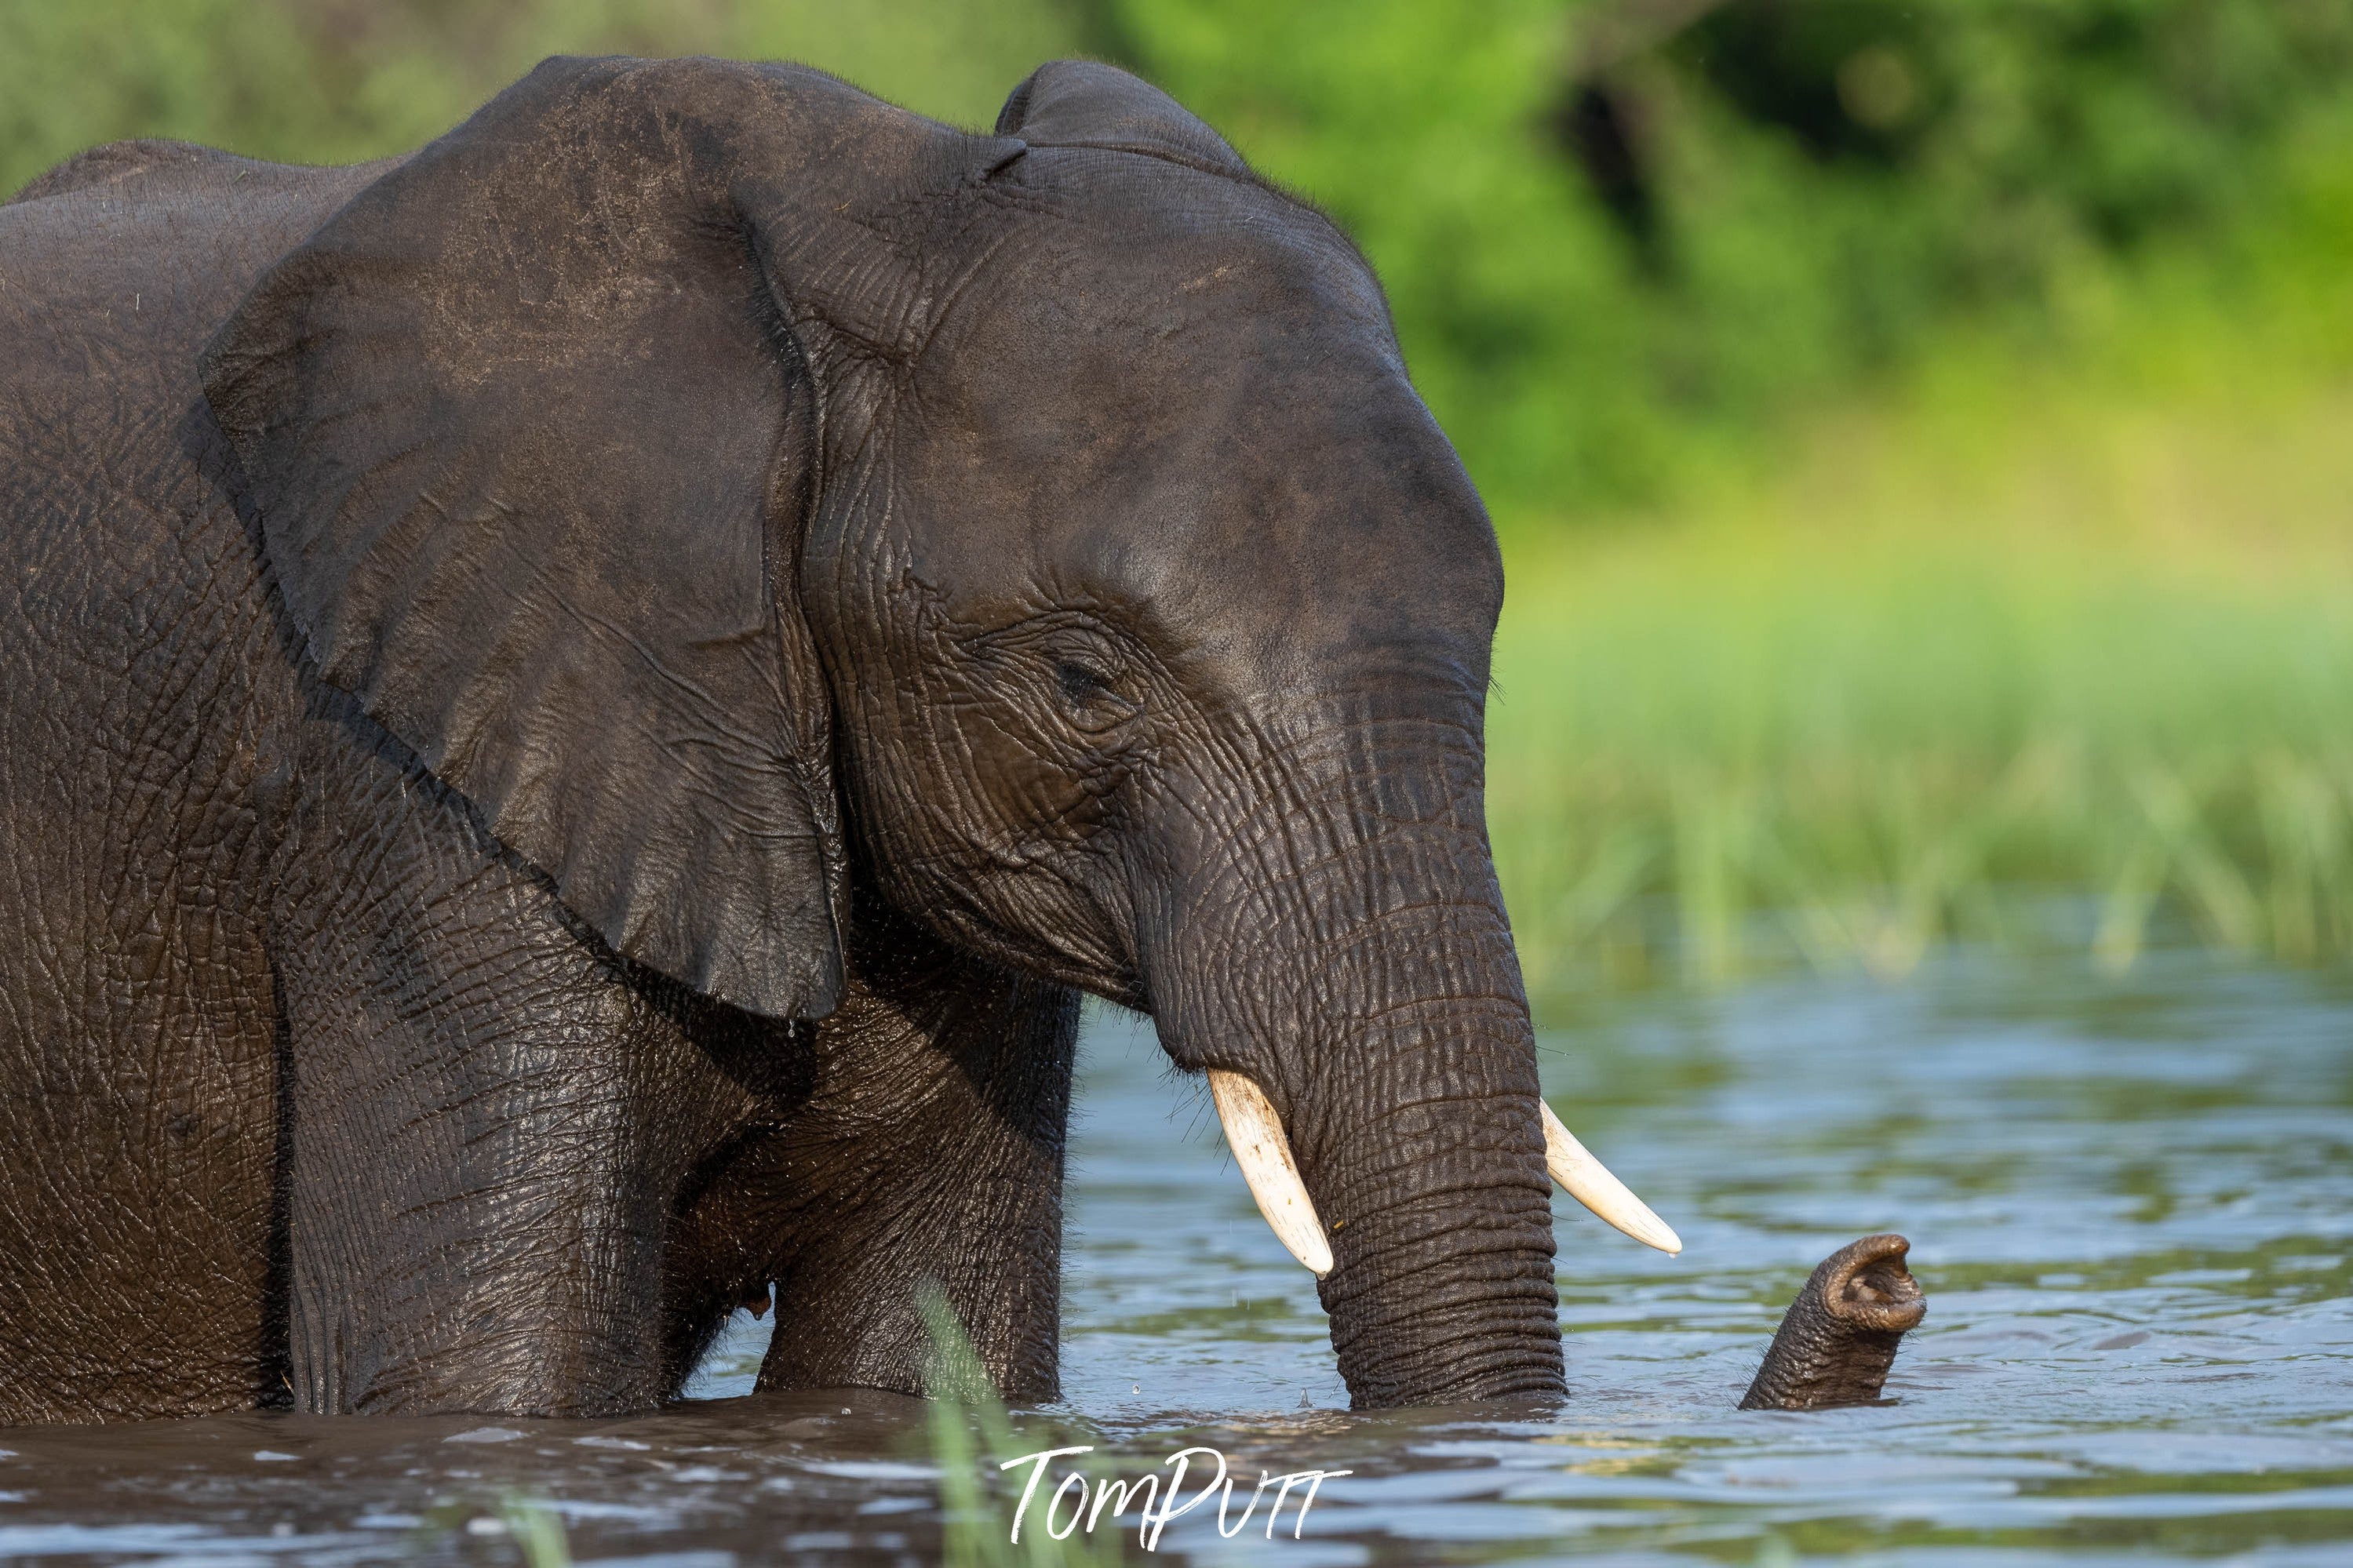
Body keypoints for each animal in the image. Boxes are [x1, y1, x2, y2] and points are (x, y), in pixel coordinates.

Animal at [0, 55, 1920, 1420]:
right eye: (1080, 677)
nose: (1879, 1265)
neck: (858, 221)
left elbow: (920, 1365)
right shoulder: (410, 771)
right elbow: (480, 1382)